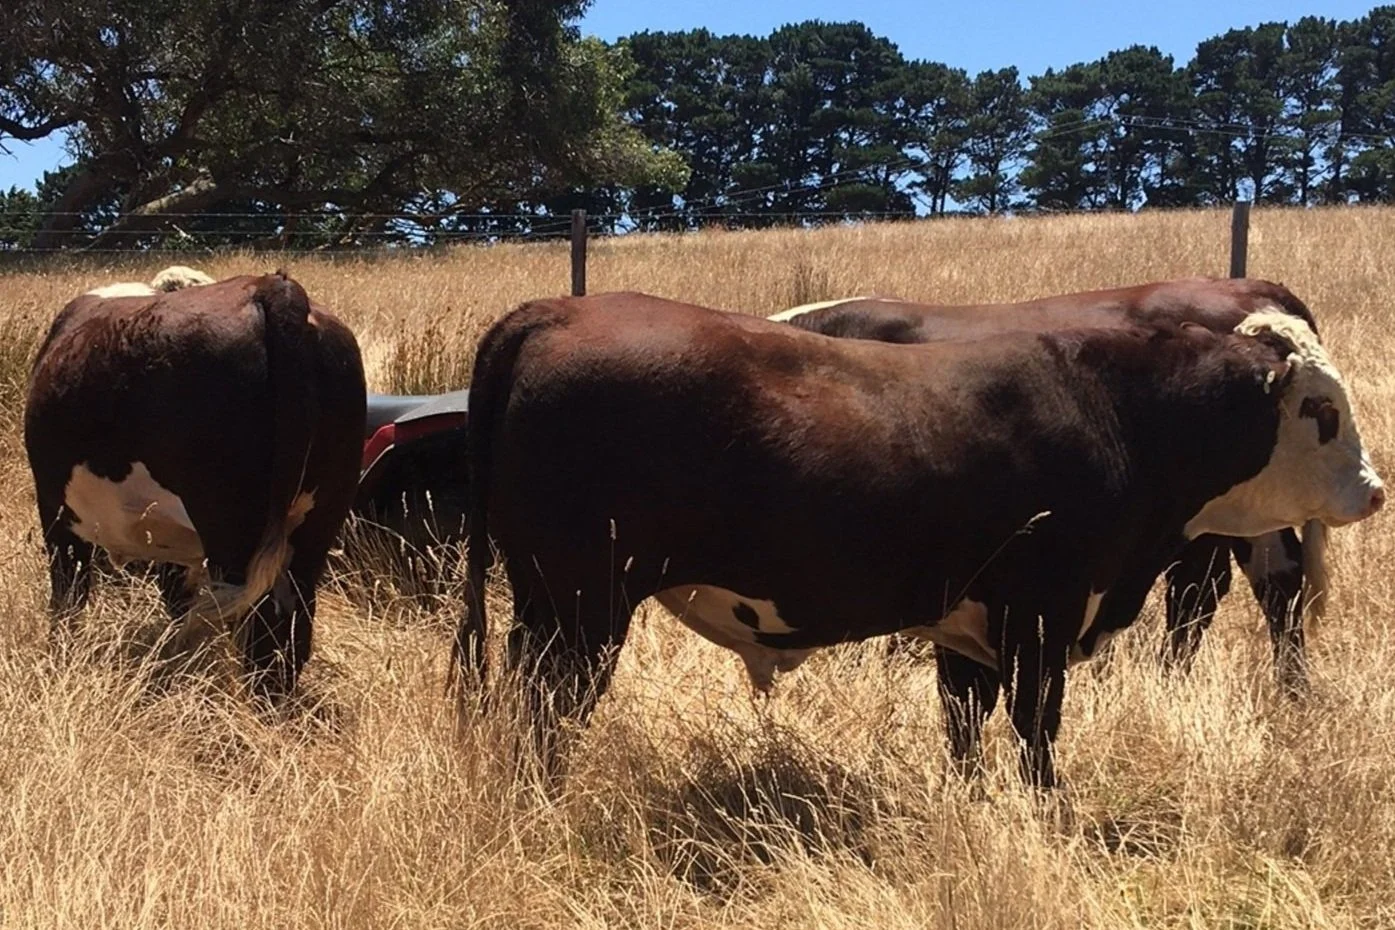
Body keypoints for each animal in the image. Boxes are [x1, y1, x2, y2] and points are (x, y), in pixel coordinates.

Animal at [24, 270, 367, 701]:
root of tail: (271, 287)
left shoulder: (56, 513)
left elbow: (68, 596)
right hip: (317, 523)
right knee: (292, 625)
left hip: (232, 528)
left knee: (260, 625)